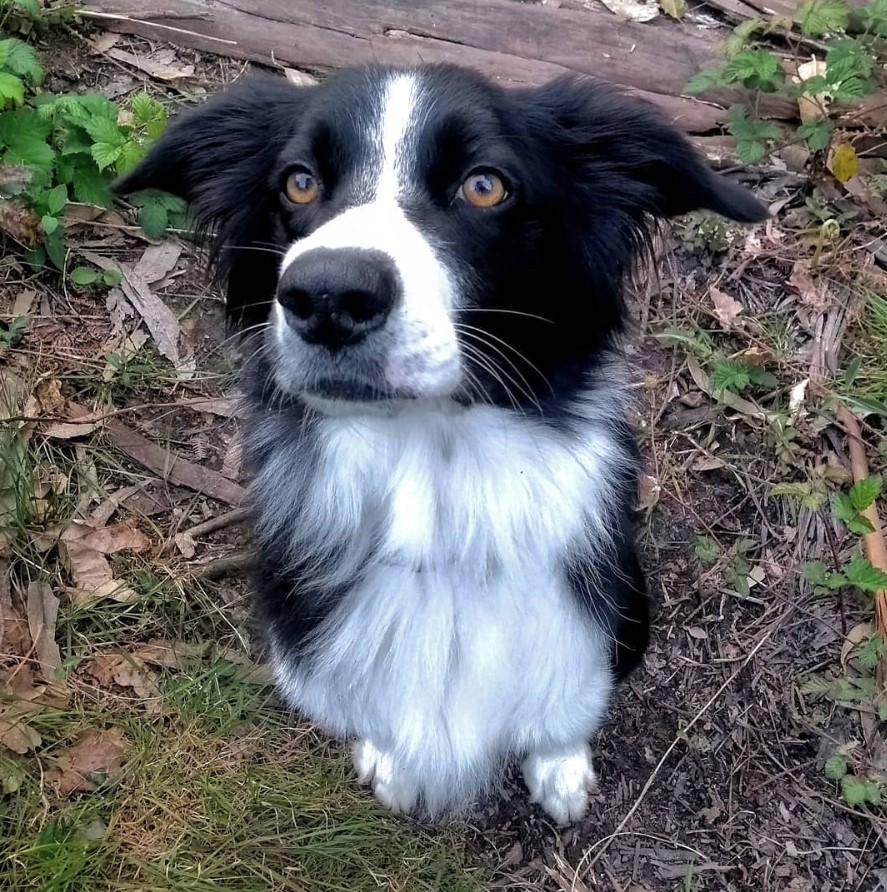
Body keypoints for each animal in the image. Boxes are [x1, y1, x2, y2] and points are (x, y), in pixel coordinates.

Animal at [114, 64, 772, 824]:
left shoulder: (594, 630)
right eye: (298, 182)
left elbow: (564, 712)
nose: (327, 295)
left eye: (485, 185)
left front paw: (560, 770)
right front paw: (390, 763)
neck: (434, 490)